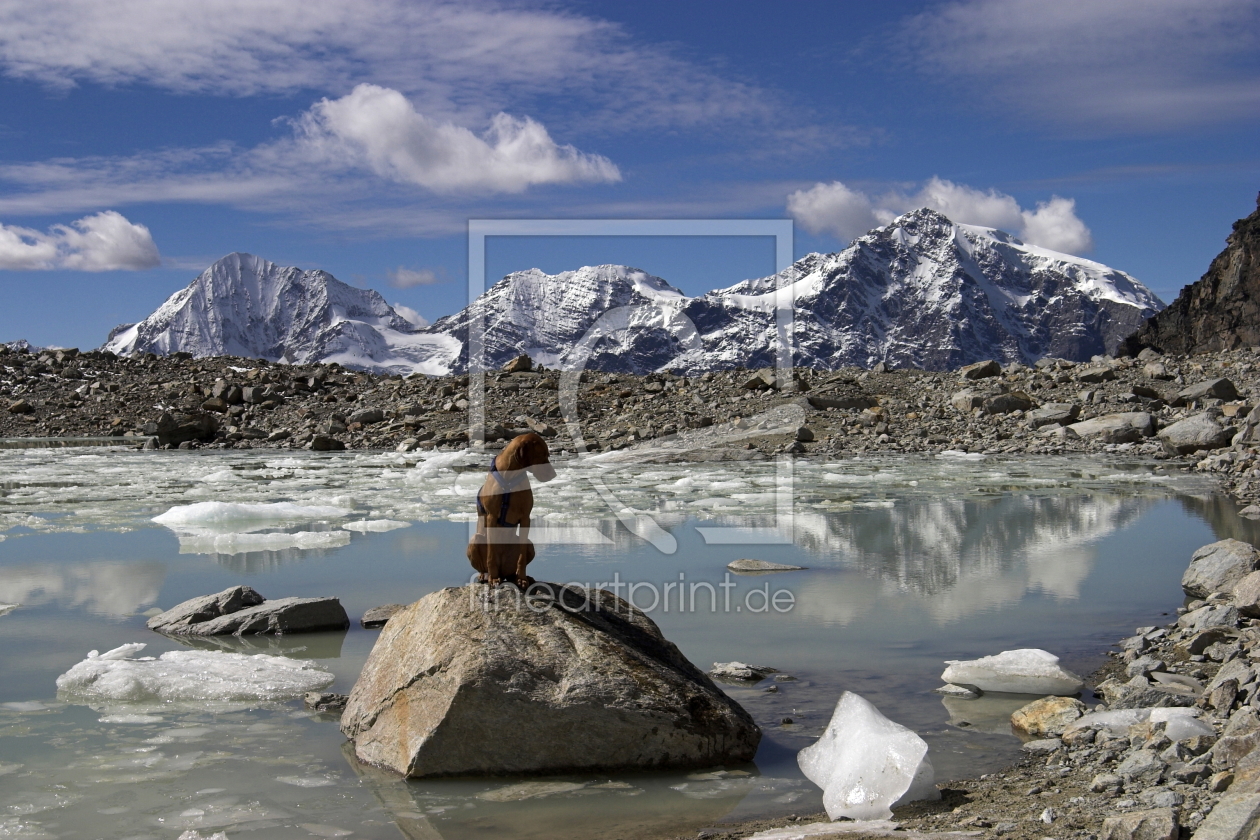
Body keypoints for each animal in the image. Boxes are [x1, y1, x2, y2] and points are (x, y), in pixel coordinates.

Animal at [468, 430, 556, 589]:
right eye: (543, 455)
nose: (554, 475)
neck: (509, 478)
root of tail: (503, 572)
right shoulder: (491, 517)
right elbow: (491, 553)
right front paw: (493, 578)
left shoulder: (526, 518)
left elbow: (521, 557)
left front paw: (522, 578)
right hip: (475, 540)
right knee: (483, 566)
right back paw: (485, 576)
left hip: (529, 546)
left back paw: (520, 576)